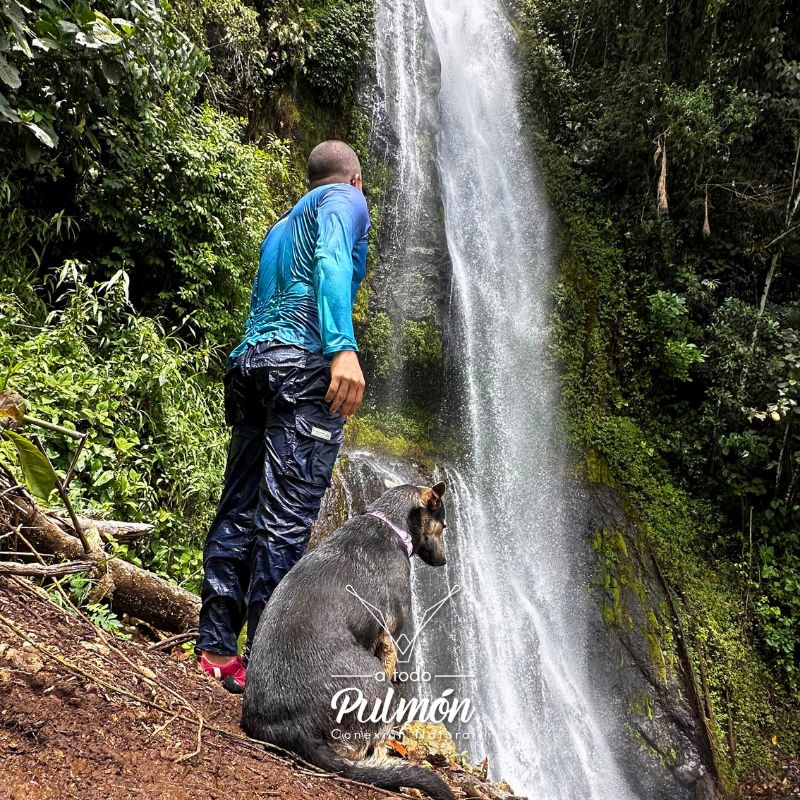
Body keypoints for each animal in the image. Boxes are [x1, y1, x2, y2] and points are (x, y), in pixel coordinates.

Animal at [242, 481, 455, 800]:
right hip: (379, 687)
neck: (390, 523)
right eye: (443, 526)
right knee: (369, 746)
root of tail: (294, 728)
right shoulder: (389, 637)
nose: (445, 561)